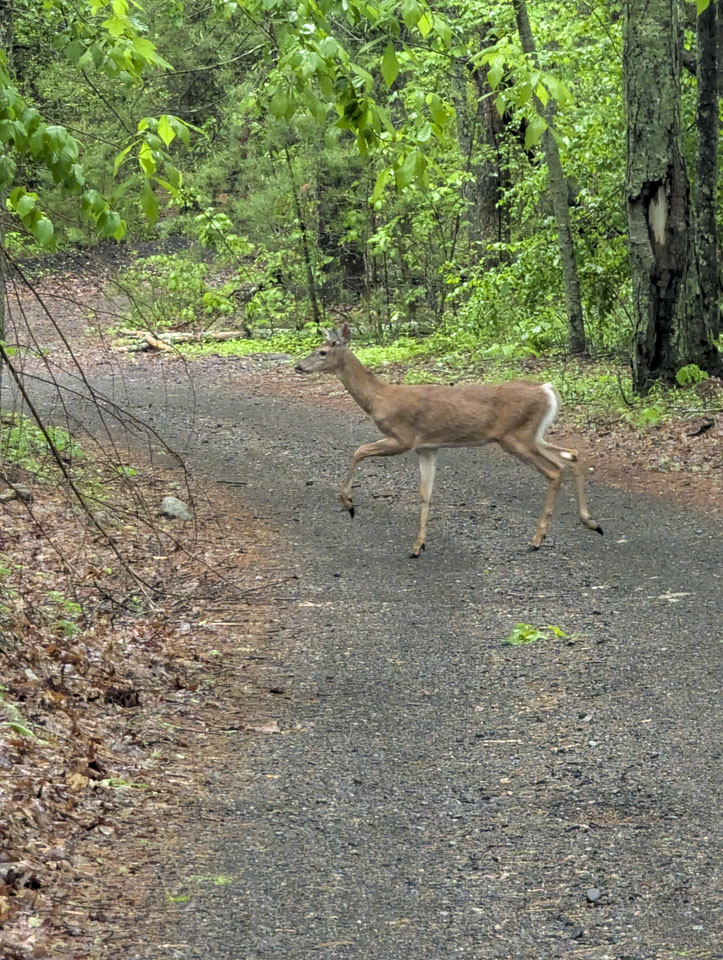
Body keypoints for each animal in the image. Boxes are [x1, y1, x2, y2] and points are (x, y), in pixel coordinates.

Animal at [295, 323, 603, 557]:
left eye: (322, 351)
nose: (298, 366)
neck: (378, 398)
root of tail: (547, 389)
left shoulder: (403, 437)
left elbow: (358, 451)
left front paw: (348, 503)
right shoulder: (427, 447)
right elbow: (425, 493)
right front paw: (418, 546)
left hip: (515, 436)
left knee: (554, 470)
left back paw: (538, 539)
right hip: (533, 435)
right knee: (572, 455)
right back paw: (590, 522)